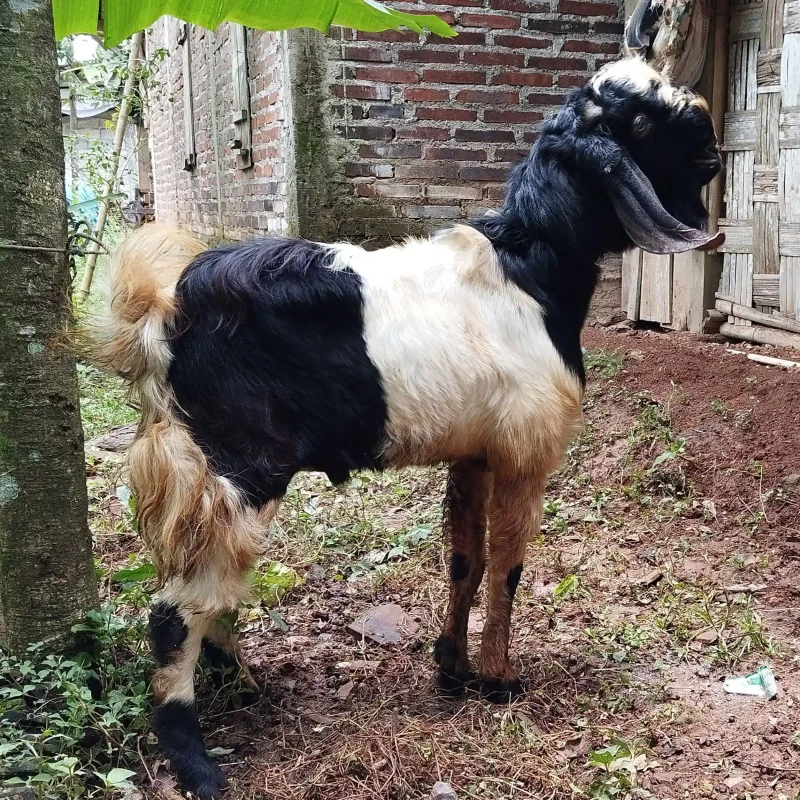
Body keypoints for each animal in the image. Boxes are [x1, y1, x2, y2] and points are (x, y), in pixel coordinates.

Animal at [93, 57, 722, 799]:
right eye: (643, 118)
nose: (713, 150)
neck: (527, 267)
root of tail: (162, 309)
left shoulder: (475, 452)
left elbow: (464, 559)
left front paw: (451, 667)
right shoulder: (524, 451)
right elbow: (508, 567)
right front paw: (501, 680)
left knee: (209, 587)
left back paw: (242, 683)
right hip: (236, 467)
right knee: (173, 611)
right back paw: (198, 763)